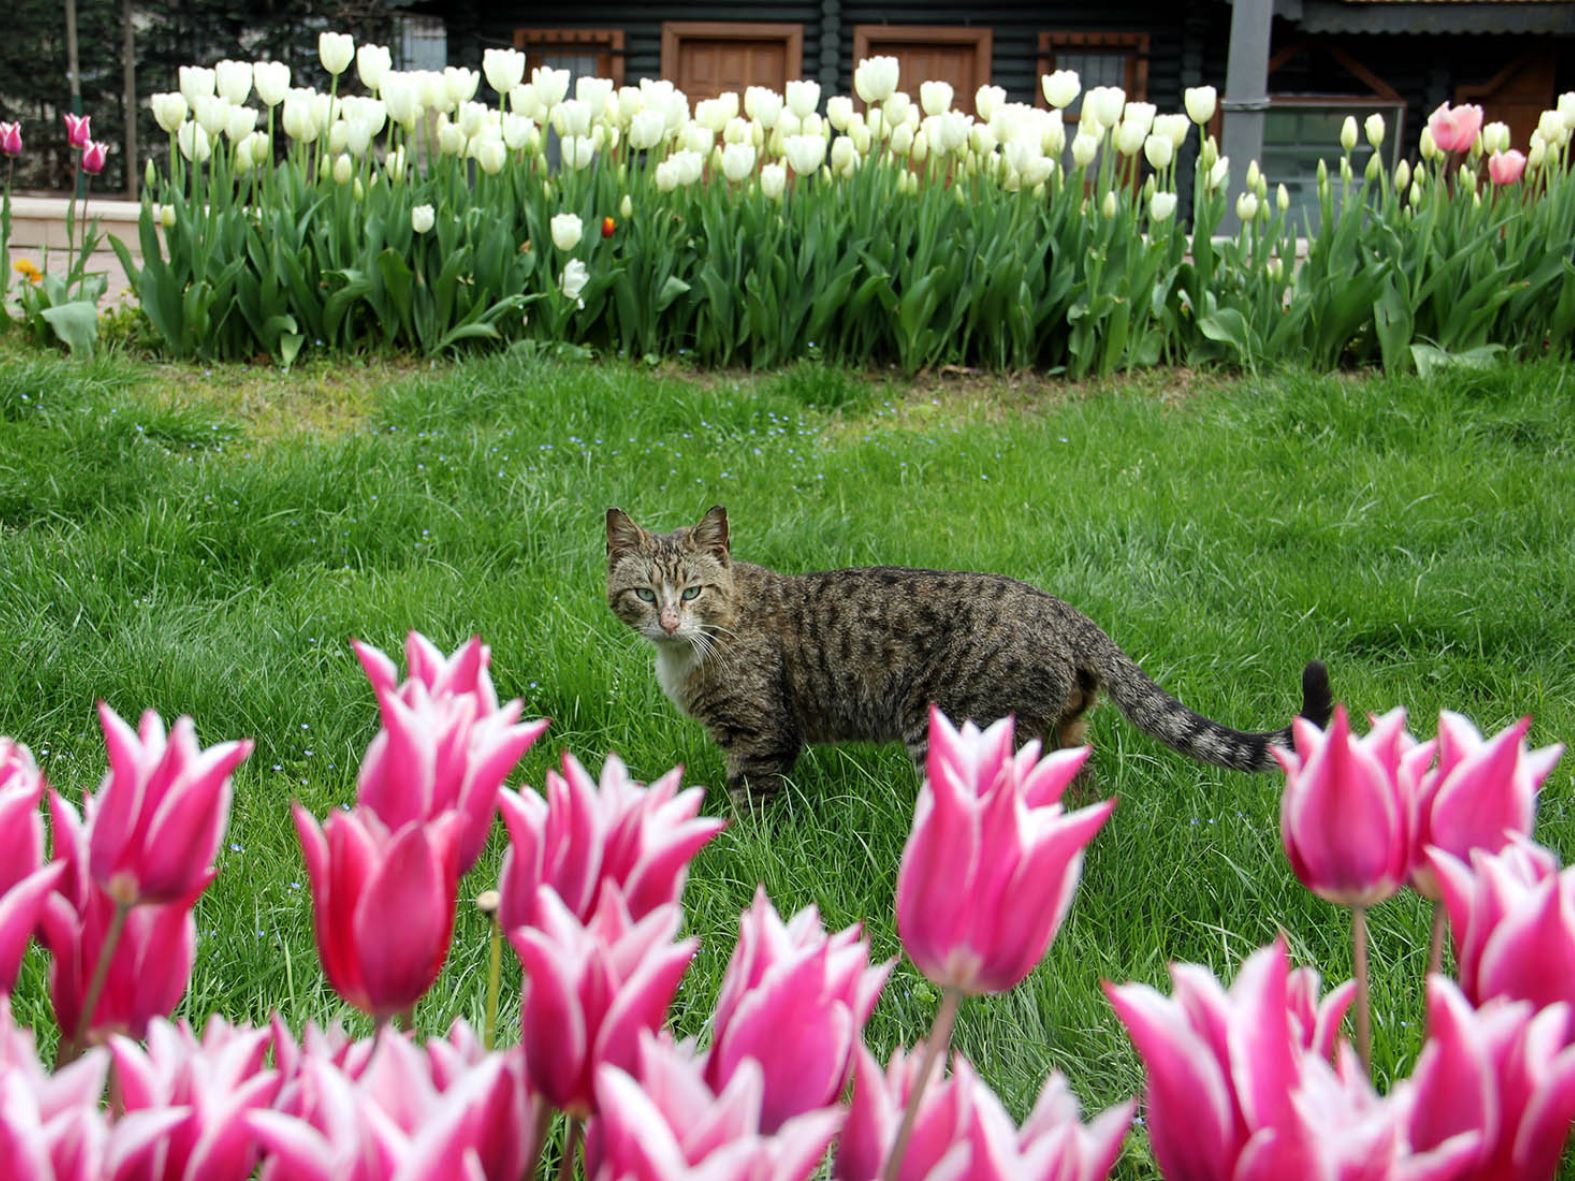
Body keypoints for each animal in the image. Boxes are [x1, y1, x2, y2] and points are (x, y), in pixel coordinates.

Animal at [605, 505, 1333, 800]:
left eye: (693, 591)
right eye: (643, 592)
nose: (669, 619)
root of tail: (1066, 611)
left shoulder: (759, 734)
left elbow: (753, 805)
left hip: (950, 725)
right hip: (1061, 728)